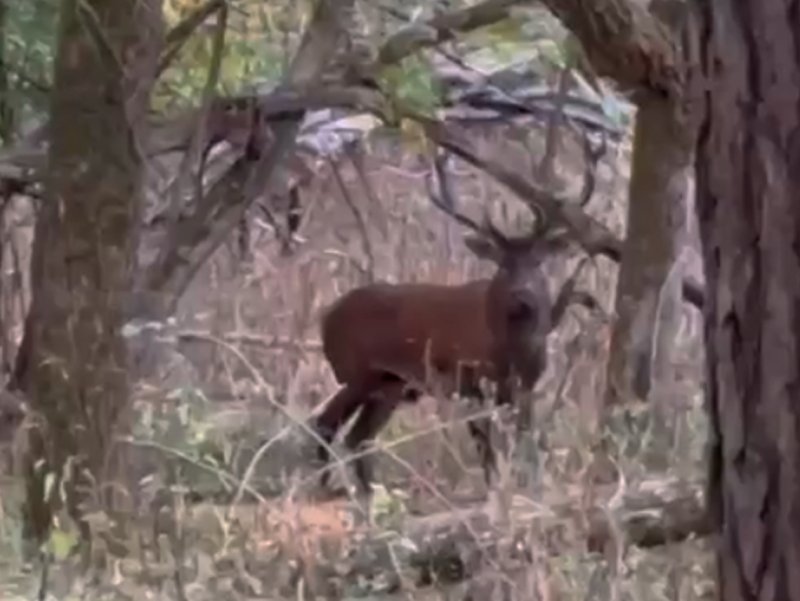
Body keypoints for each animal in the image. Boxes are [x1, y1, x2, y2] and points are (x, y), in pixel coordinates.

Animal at [310, 136, 604, 496]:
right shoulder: (469, 379)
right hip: (357, 371)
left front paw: (527, 486)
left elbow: (524, 438)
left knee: (357, 438)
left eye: (537, 262)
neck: (510, 348)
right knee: (327, 424)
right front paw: (494, 490)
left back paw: (365, 494)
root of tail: (326, 319)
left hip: (390, 384)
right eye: (503, 265)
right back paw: (327, 488)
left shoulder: (525, 384)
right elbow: (485, 446)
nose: (522, 296)